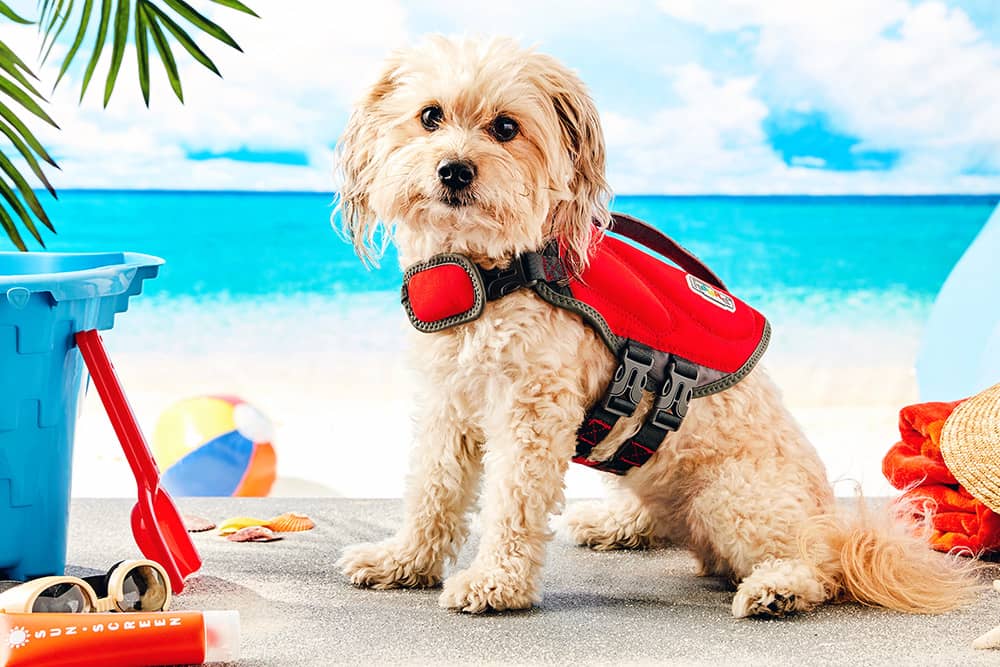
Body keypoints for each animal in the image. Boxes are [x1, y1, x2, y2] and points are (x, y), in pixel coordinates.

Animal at [332, 37, 980, 616]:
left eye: (506, 128)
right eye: (430, 117)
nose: (454, 170)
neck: (491, 274)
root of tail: (834, 522)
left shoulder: (531, 414)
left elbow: (511, 503)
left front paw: (496, 584)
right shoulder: (448, 405)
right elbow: (431, 491)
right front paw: (403, 562)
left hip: (735, 498)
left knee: (818, 565)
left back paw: (779, 589)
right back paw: (619, 524)